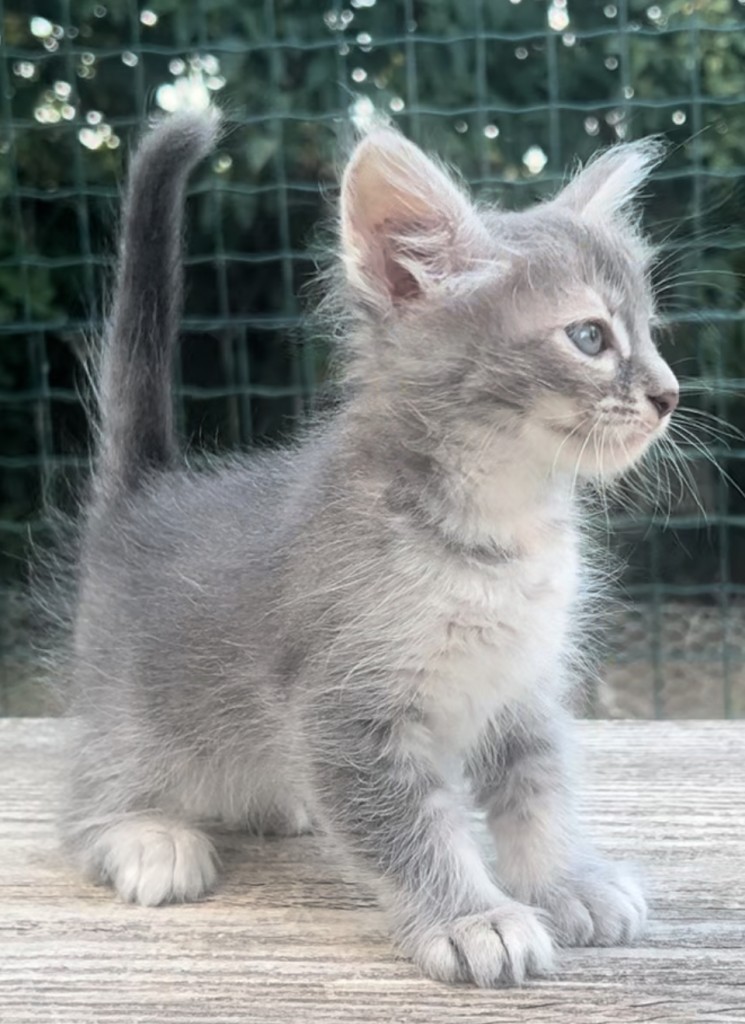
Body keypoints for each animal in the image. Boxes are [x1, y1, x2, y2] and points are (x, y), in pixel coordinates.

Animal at [58, 106, 678, 988]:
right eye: (589, 336)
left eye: (651, 333)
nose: (668, 394)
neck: (499, 531)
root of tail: (145, 498)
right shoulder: (344, 709)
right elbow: (411, 826)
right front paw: (473, 916)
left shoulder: (524, 685)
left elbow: (538, 790)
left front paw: (566, 881)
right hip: (131, 706)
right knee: (83, 796)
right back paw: (143, 834)